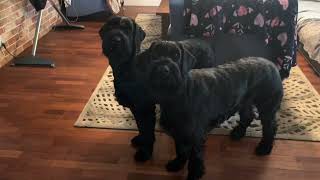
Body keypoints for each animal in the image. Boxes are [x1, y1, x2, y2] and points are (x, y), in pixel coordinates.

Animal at [144, 57, 282, 180]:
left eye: (178, 57)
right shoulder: (179, 134)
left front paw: (194, 174)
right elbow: (181, 150)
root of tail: (271, 64)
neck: (177, 96)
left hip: (266, 107)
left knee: (270, 127)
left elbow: (195, 159)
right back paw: (238, 133)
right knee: (247, 116)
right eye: (154, 55)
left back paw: (264, 147)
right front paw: (177, 164)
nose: (163, 69)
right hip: (244, 101)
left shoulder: (195, 138)